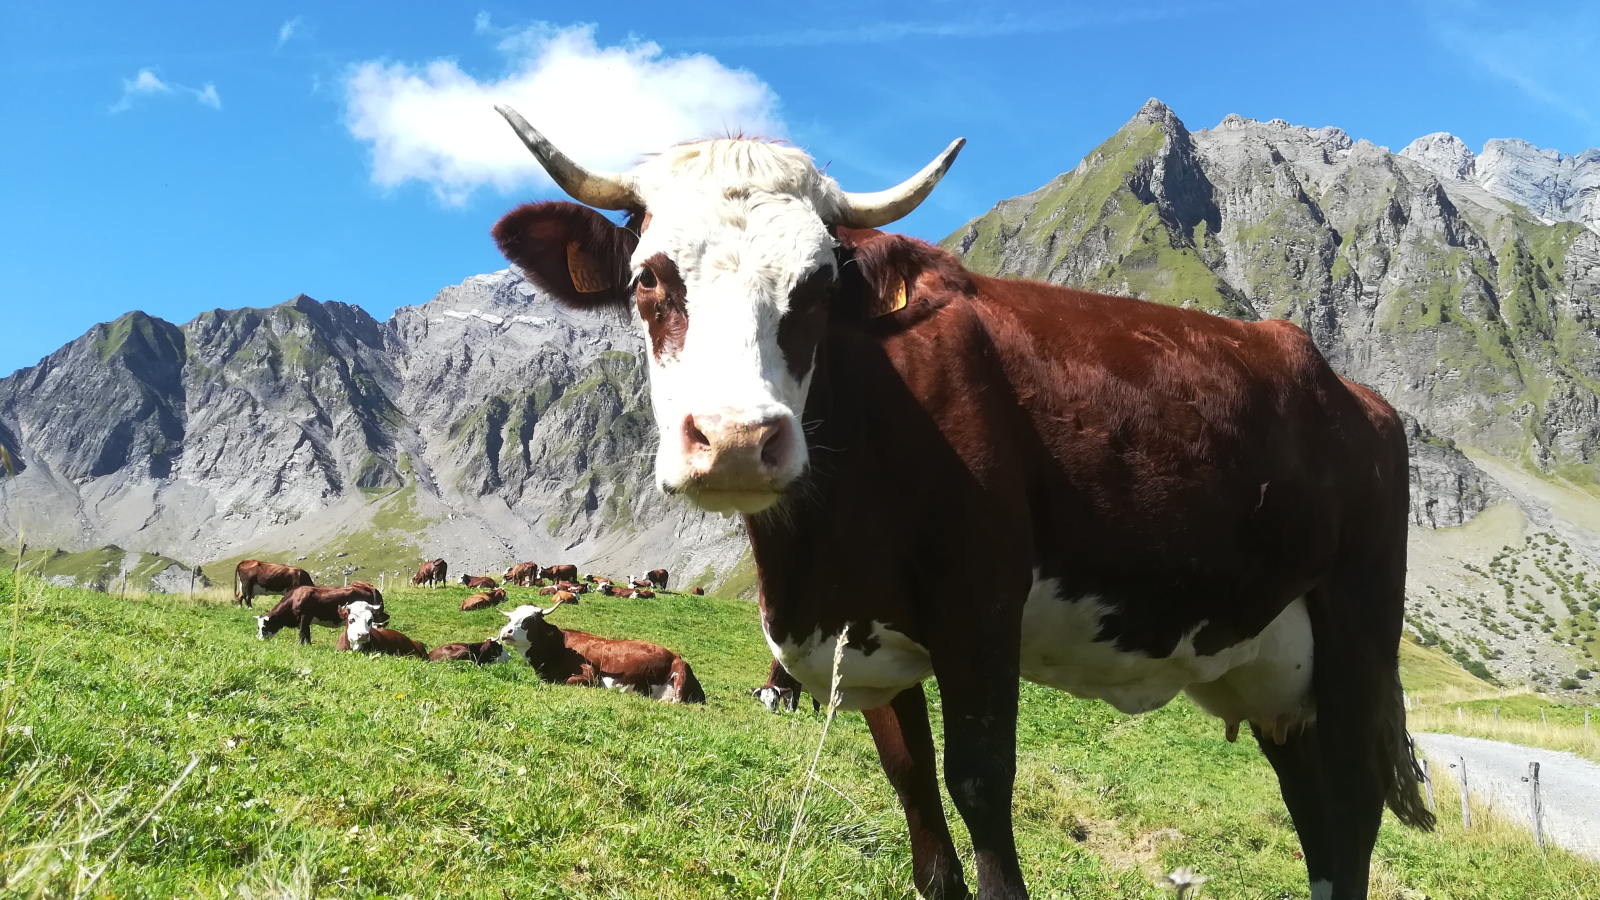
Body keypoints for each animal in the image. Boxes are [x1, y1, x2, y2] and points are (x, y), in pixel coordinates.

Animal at [260, 582, 392, 643]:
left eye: (264, 627)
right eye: (258, 627)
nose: (260, 639)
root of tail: (366, 586)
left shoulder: (304, 617)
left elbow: (302, 633)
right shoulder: (305, 621)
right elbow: (307, 633)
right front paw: (308, 645)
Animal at [496, 602, 704, 701]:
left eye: (529, 620)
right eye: (510, 619)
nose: (506, 632)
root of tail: (676, 656)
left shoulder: (590, 674)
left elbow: (568, 681)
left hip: (680, 677)